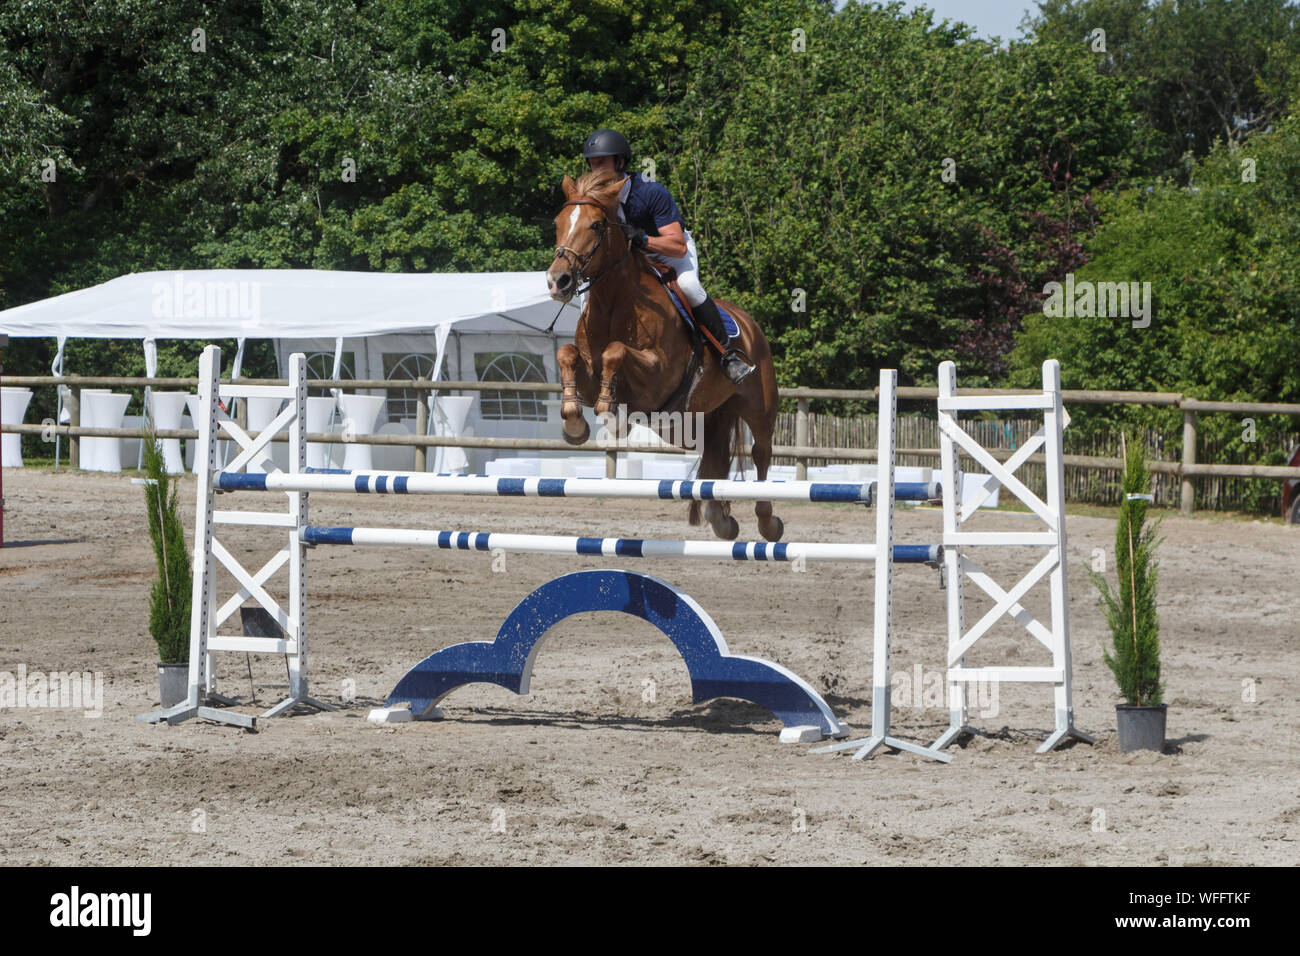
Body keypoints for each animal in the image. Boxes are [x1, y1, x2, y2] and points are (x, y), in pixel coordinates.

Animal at [546, 169, 785, 541]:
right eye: (558, 222)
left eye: (597, 225)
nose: (558, 281)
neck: (613, 304)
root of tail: (749, 323)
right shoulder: (589, 373)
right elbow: (567, 354)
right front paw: (574, 424)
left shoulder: (655, 379)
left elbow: (616, 352)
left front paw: (612, 417)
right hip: (695, 420)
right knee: (714, 459)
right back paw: (720, 520)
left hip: (758, 407)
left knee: (761, 453)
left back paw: (767, 522)